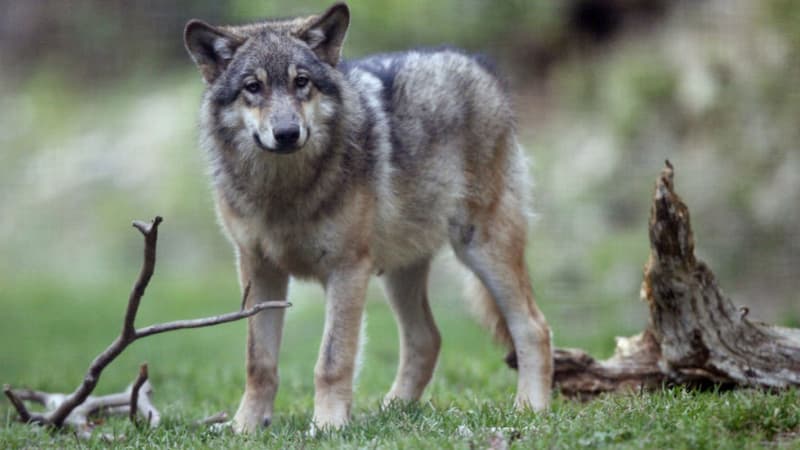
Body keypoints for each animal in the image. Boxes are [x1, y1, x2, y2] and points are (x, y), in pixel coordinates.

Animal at [184, 2, 552, 432]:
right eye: (252, 87)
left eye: (301, 82)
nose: (288, 133)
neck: (284, 191)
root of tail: (478, 63)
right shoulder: (259, 272)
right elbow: (258, 362)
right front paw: (245, 427)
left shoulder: (347, 270)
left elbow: (332, 360)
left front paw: (327, 426)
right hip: (400, 272)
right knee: (427, 339)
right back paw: (390, 411)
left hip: (480, 249)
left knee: (533, 327)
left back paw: (530, 409)